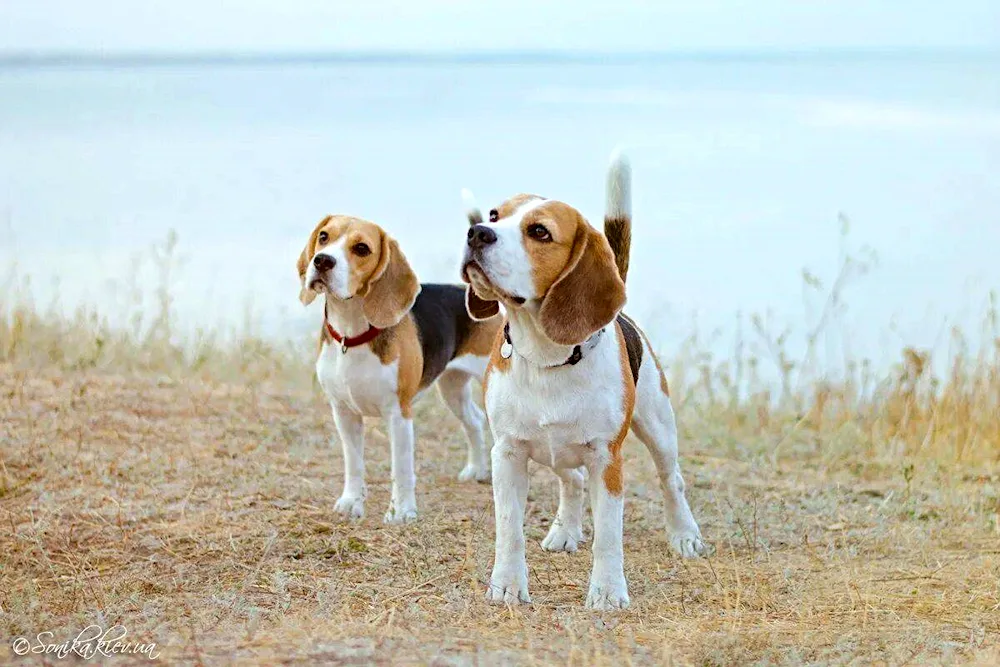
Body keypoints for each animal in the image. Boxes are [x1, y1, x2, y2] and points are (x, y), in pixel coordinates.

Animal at [296, 217, 500, 524]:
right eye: (323, 237)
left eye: (361, 248)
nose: (322, 261)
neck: (351, 334)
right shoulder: (344, 412)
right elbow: (353, 462)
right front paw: (352, 502)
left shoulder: (398, 413)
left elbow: (401, 467)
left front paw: (402, 512)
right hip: (452, 388)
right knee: (474, 419)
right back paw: (477, 470)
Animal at [462, 151, 708, 612]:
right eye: (494, 215)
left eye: (539, 232)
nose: (476, 233)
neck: (548, 359)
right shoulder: (507, 454)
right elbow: (509, 530)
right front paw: (507, 585)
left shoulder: (606, 459)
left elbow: (609, 536)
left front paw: (608, 591)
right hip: (554, 449)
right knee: (571, 481)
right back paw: (564, 530)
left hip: (659, 428)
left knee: (672, 480)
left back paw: (685, 535)